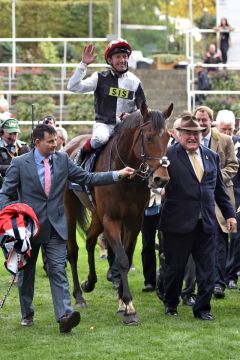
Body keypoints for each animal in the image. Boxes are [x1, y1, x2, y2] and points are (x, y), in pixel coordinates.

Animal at [63, 102, 172, 324]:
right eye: (149, 137)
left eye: (168, 137)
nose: (161, 179)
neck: (126, 179)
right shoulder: (111, 219)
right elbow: (121, 259)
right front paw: (129, 306)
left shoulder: (134, 222)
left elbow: (127, 257)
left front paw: (122, 302)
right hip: (70, 208)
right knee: (73, 250)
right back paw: (79, 295)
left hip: (97, 214)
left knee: (90, 239)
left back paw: (90, 282)